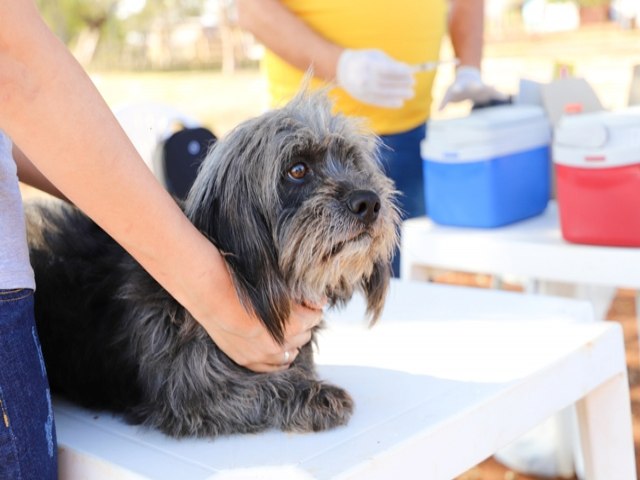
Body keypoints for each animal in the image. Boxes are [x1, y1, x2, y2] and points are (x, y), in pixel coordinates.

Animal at [28, 91, 400, 438]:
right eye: (297, 169)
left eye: (353, 162)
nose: (369, 202)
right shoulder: (190, 396)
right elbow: (256, 390)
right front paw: (313, 395)